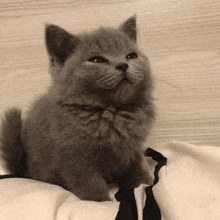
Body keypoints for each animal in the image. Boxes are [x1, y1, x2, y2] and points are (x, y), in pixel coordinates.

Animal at [0, 16, 155, 201]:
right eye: (96, 60)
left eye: (131, 56)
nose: (123, 65)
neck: (112, 111)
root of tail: (26, 171)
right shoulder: (76, 158)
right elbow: (90, 184)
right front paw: (101, 201)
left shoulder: (134, 147)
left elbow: (137, 167)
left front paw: (145, 184)